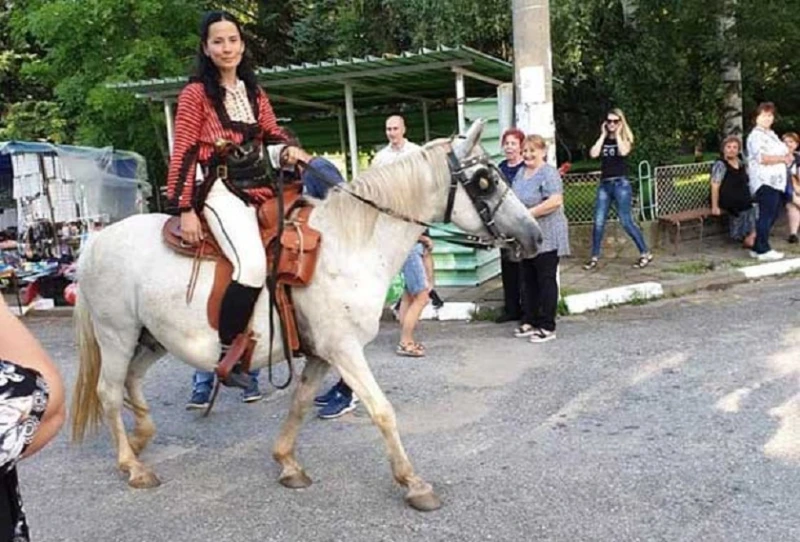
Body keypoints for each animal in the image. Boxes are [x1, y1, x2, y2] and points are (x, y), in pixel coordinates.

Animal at [70, 121, 544, 512]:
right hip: (117, 335)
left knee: (131, 381)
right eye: (485, 181)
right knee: (109, 391)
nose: (535, 236)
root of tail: (95, 243)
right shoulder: (344, 350)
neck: (348, 245)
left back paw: (140, 438)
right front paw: (413, 483)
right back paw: (132, 465)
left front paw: (287, 463)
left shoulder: (321, 353)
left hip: (152, 338)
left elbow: (299, 403)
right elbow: (382, 410)